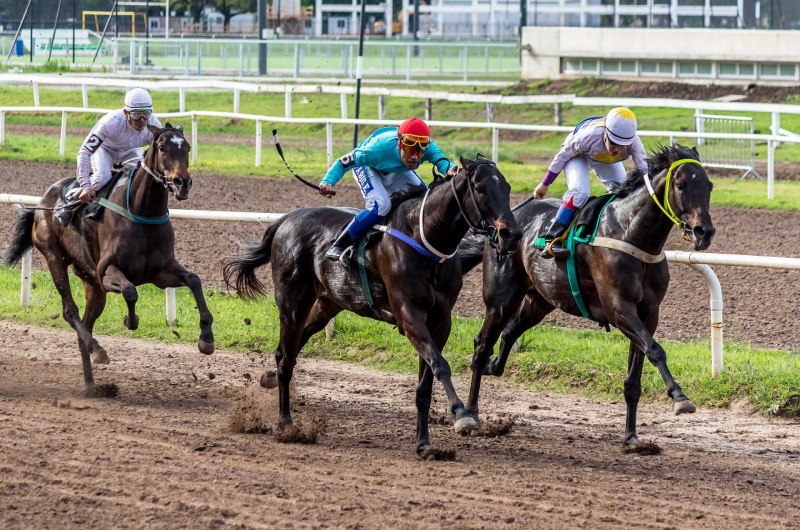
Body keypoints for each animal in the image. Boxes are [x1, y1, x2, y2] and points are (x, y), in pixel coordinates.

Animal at [3, 124, 214, 394]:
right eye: (162, 147)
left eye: (186, 147)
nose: (182, 183)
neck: (143, 211)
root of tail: (42, 203)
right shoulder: (107, 273)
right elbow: (131, 292)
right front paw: (130, 320)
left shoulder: (161, 272)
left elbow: (194, 280)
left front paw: (206, 340)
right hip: (54, 258)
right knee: (70, 312)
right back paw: (98, 350)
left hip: (90, 280)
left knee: (86, 323)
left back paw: (92, 384)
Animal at [222, 154, 520, 454]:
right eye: (480, 189)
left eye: (507, 188)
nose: (512, 235)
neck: (426, 239)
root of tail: (287, 219)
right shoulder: (408, 315)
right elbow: (440, 365)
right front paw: (461, 415)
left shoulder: (440, 320)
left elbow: (426, 384)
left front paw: (424, 443)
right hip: (292, 302)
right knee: (287, 357)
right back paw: (286, 423)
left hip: (328, 303)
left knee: (290, 349)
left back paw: (270, 378)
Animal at [460, 144, 716, 446]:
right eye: (680, 184)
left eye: (710, 185)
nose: (704, 232)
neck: (632, 233)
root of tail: (505, 223)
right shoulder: (619, 308)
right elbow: (655, 350)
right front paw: (679, 397)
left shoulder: (649, 313)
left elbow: (635, 375)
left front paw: (631, 437)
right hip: (501, 299)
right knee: (482, 344)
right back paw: (471, 412)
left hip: (540, 301)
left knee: (510, 331)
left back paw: (493, 367)